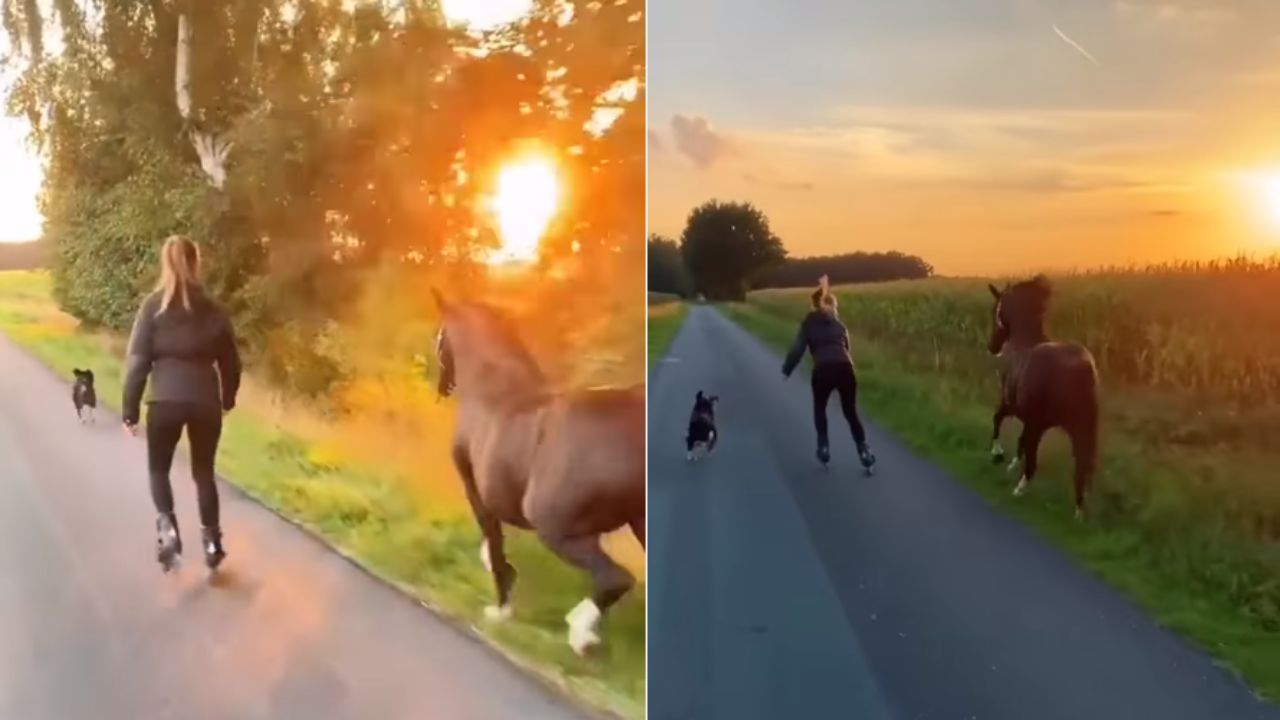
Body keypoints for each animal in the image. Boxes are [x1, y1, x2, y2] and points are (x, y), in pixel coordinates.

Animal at [435, 288, 645, 653]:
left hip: (556, 528)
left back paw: (580, 633)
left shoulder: (477, 492)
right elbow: (494, 545)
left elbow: (495, 544)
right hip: (638, 525)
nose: (441, 385)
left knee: (616, 578)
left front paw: (501, 608)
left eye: (440, 337)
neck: (494, 386)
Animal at [988, 274, 1100, 515]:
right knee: (1082, 463)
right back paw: (1079, 510)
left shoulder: (1012, 407)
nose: (992, 347)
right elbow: (1020, 441)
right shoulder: (1028, 419)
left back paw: (1020, 488)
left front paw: (997, 455)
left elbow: (997, 421)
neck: (1025, 344)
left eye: (996, 310)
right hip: (1081, 428)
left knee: (1034, 460)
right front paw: (1010, 464)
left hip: (1040, 424)